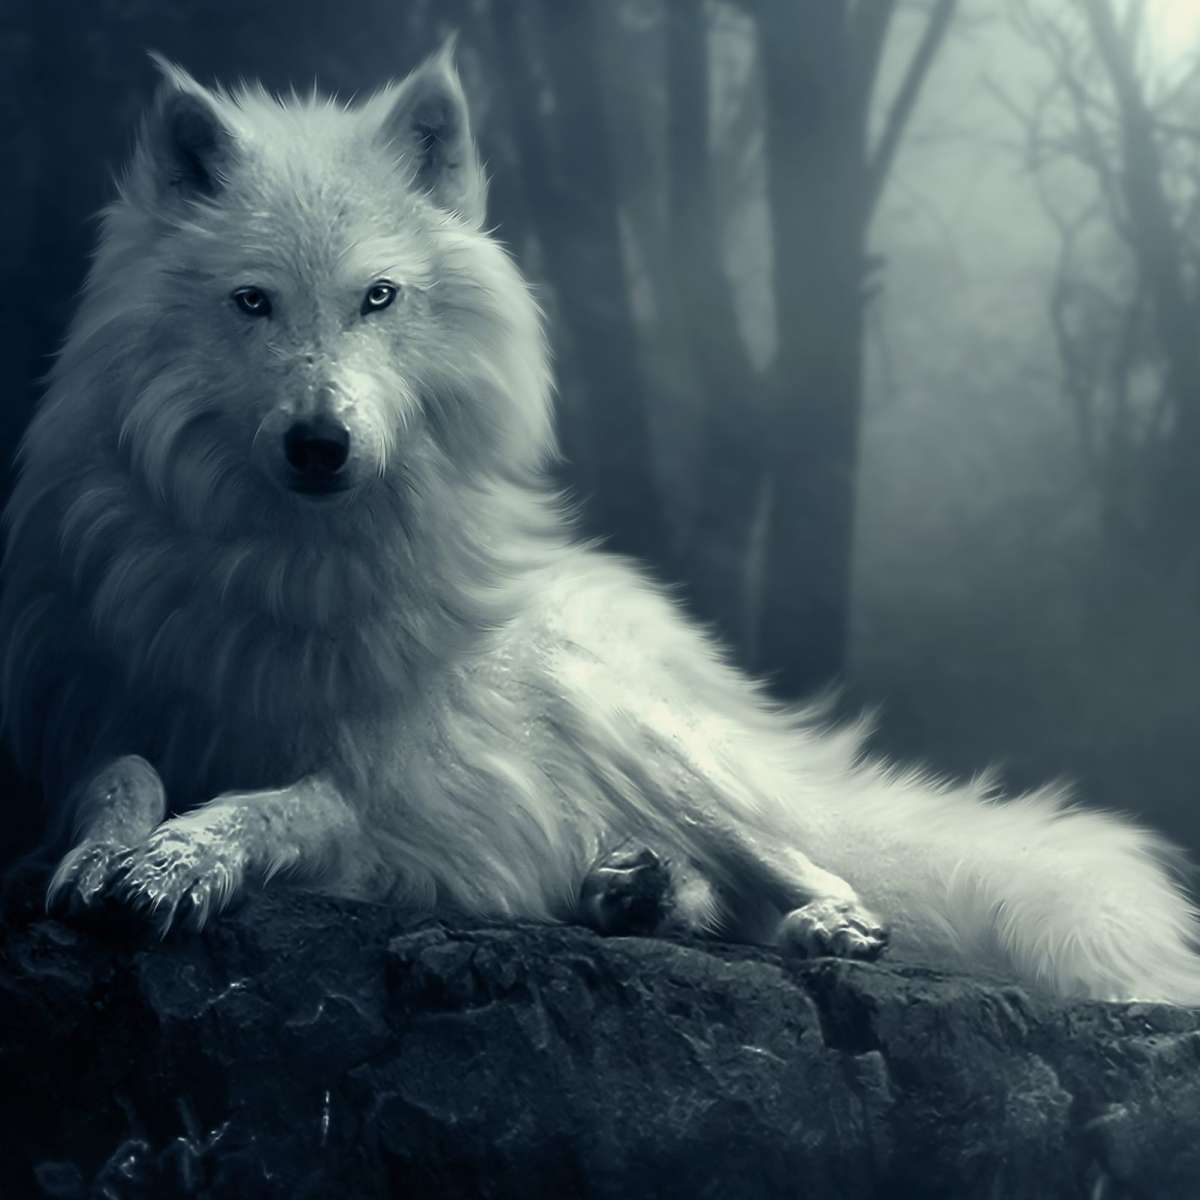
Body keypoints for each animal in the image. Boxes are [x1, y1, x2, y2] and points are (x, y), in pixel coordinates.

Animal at [3, 44, 1198, 1004]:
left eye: (378, 298)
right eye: (252, 302)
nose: (319, 444)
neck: (290, 565)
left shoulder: (409, 792)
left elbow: (290, 803)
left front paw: (182, 860)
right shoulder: (82, 710)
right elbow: (118, 773)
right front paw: (106, 856)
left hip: (634, 727)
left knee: (811, 866)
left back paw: (816, 920)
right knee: (703, 888)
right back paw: (631, 890)